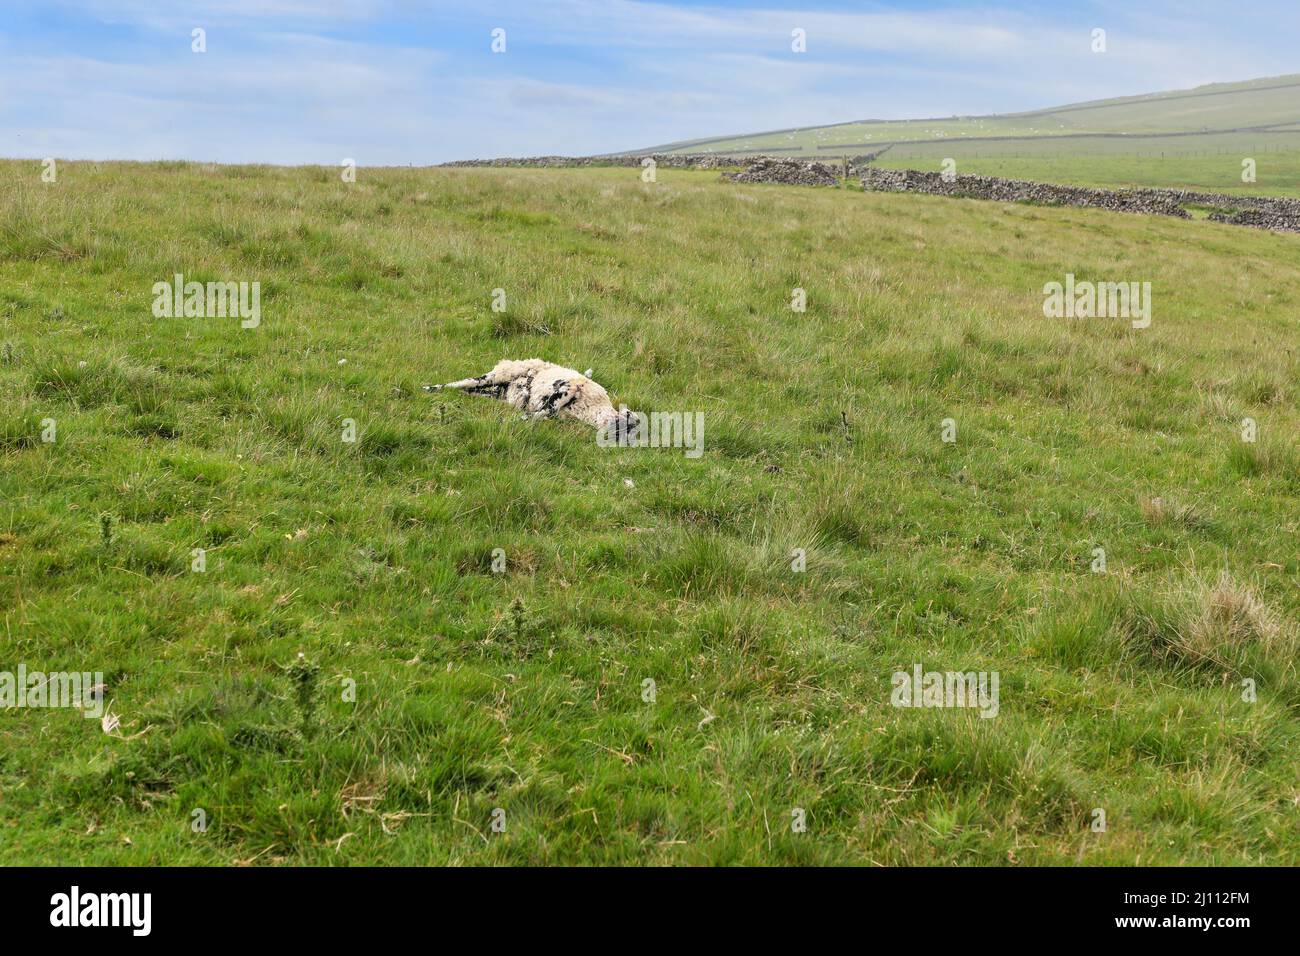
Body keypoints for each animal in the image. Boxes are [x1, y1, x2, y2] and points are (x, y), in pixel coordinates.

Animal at [424, 359, 641, 440]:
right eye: (629, 420)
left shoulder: (557, 411)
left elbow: (539, 414)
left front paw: (510, 420)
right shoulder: (565, 389)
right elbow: (543, 411)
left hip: (499, 393)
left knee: (472, 390)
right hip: (499, 374)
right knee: (464, 382)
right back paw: (429, 388)